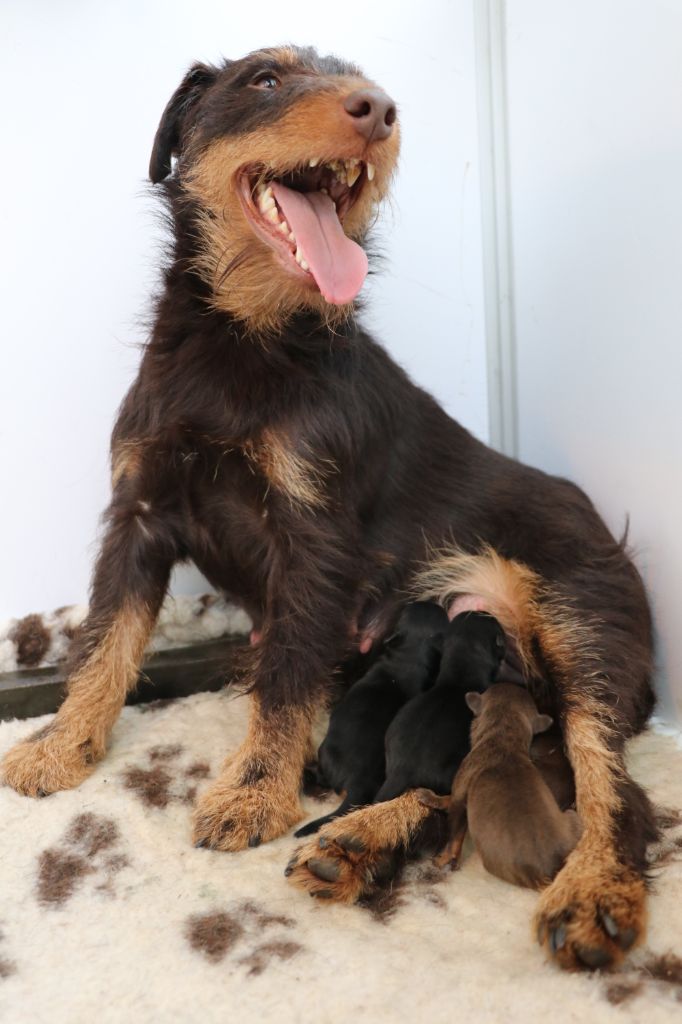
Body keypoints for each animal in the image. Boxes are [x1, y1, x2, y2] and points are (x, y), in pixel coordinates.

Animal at [417, 684, 581, 892]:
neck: (503, 739)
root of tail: (550, 873)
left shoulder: (461, 793)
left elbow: (454, 835)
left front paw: (441, 860)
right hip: (573, 817)